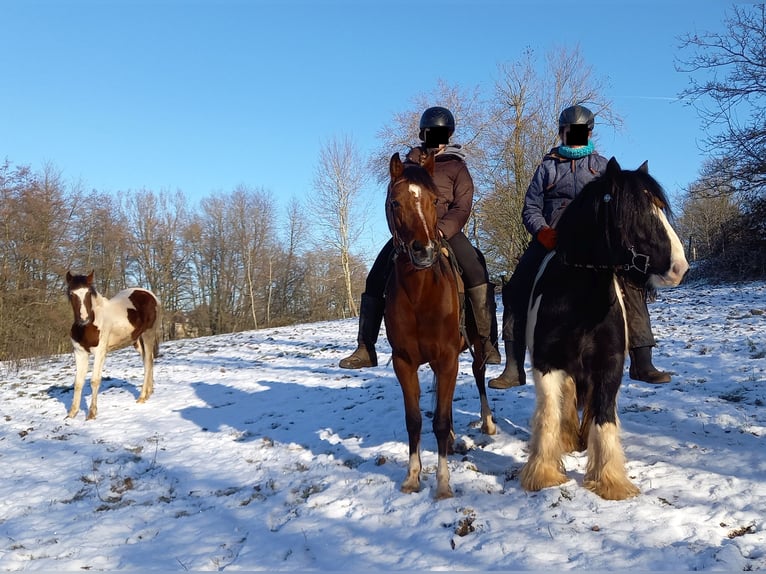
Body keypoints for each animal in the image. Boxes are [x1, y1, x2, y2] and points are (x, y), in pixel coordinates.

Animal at [65, 271, 161, 420]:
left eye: (88, 293)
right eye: (71, 293)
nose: (84, 319)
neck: (88, 326)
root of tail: (150, 295)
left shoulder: (100, 353)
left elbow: (94, 381)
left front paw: (91, 414)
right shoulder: (79, 353)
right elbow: (78, 382)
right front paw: (72, 413)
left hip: (148, 335)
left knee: (148, 362)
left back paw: (142, 397)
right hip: (137, 341)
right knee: (149, 361)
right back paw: (148, 393)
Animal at [384, 151, 496, 500]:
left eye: (435, 200)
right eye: (395, 202)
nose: (424, 251)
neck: (420, 294)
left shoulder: (447, 359)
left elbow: (442, 421)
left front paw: (443, 484)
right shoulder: (404, 362)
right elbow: (415, 420)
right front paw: (412, 477)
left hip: (474, 348)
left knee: (478, 374)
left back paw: (487, 423)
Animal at [519, 157, 689, 500]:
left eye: (660, 207)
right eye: (635, 211)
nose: (680, 267)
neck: (580, 301)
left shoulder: (609, 365)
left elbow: (604, 415)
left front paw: (610, 480)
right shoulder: (547, 365)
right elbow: (549, 415)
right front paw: (543, 474)